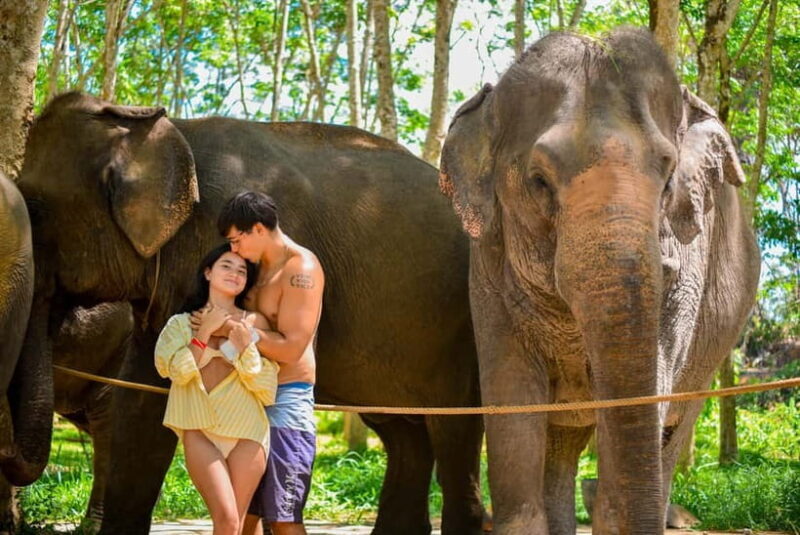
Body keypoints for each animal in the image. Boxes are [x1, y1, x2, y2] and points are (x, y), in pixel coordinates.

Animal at [17, 91, 485, 535]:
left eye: (34, 212)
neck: (173, 131)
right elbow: (141, 400)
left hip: (462, 326)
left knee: (454, 428)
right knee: (402, 430)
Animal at [439, 28, 760, 534]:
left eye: (668, 174)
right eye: (539, 181)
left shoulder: (687, 275)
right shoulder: (487, 268)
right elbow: (512, 401)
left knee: (672, 430)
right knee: (563, 444)